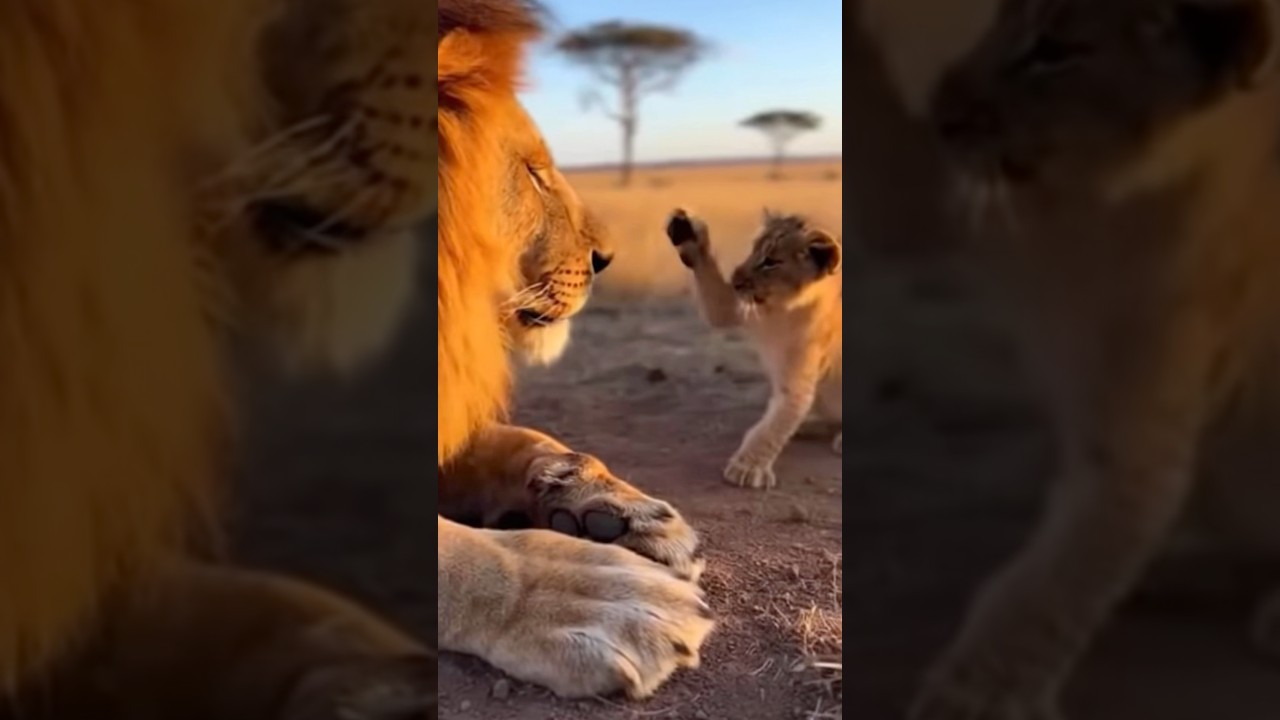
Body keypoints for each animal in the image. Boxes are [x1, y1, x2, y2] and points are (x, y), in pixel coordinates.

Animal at [435, 0, 714, 700]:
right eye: (533, 174)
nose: (605, 259)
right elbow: (455, 553)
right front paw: (589, 594)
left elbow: (518, 435)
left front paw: (606, 503)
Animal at [665, 209, 843, 490]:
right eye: (752, 251)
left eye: (770, 261)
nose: (736, 280)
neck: (780, 310)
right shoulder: (736, 308)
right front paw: (687, 230)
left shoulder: (796, 383)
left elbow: (773, 427)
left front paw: (746, 469)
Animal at [860, 0, 1280, 718]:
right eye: (998, 20)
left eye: (1053, 52)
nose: (940, 110)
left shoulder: (1134, 440)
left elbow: (1047, 591)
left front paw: (973, 701)